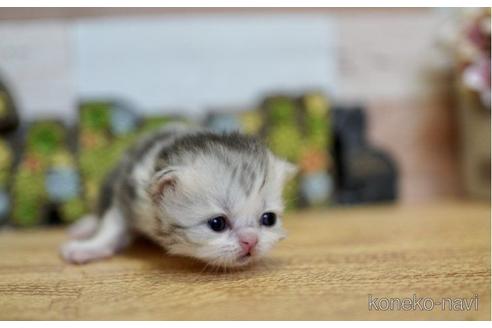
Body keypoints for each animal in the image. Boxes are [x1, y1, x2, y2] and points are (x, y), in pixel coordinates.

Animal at [59, 124, 294, 268]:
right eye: (217, 223)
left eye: (269, 219)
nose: (251, 241)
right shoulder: (127, 193)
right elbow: (111, 227)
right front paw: (89, 248)